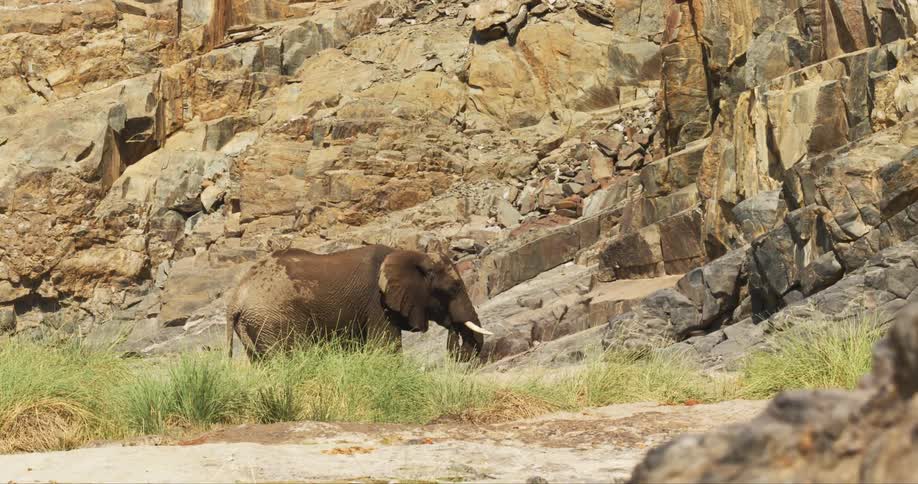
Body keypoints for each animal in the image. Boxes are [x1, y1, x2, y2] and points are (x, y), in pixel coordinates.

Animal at [225, 244, 490, 361]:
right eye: (453, 288)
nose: (459, 353)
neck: (411, 254)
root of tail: (236, 299)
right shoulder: (377, 303)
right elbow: (386, 347)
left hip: (255, 324)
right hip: (273, 319)